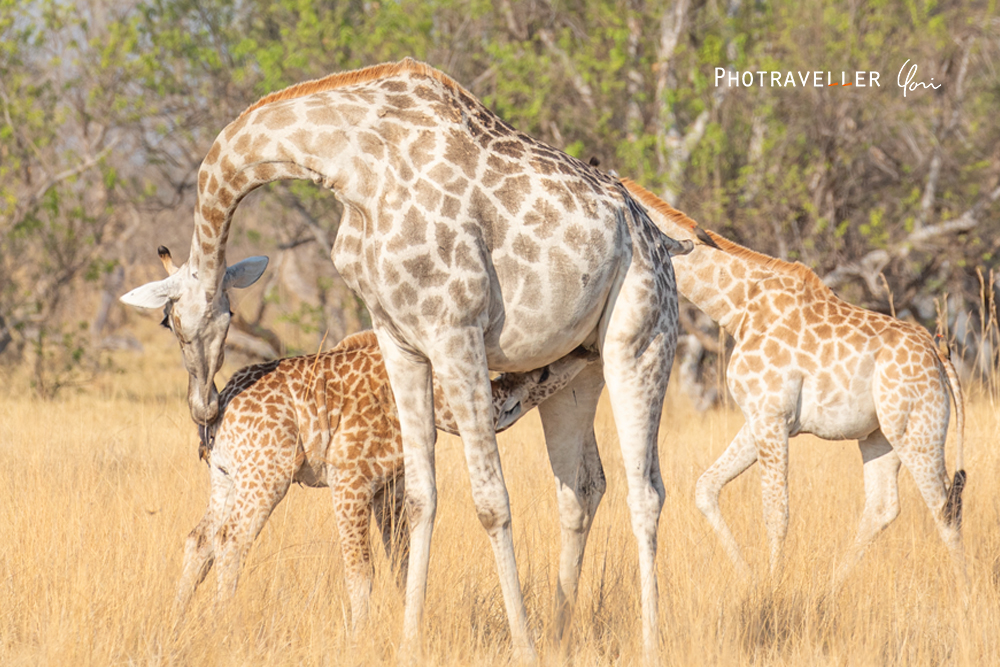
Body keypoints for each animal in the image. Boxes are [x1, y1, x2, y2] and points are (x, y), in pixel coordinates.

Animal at [175, 332, 592, 632]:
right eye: (545, 371)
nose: (584, 351)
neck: (437, 400)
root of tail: (219, 407)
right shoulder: (349, 481)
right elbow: (361, 570)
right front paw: (361, 638)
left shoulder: (389, 491)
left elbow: (402, 565)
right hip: (266, 477)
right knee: (231, 540)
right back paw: (223, 624)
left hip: (228, 478)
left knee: (200, 539)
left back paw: (179, 623)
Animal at [624, 179, 968, 588]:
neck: (738, 308)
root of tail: (938, 354)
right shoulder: (759, 417)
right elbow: (706, 487)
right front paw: (751, 579)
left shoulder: (772, 417)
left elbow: (776, 514)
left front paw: (772, 589)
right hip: (881, 436)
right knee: (884, 506)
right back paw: (831, 588)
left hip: (919, 430)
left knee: (944, 507)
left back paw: (967, 591)